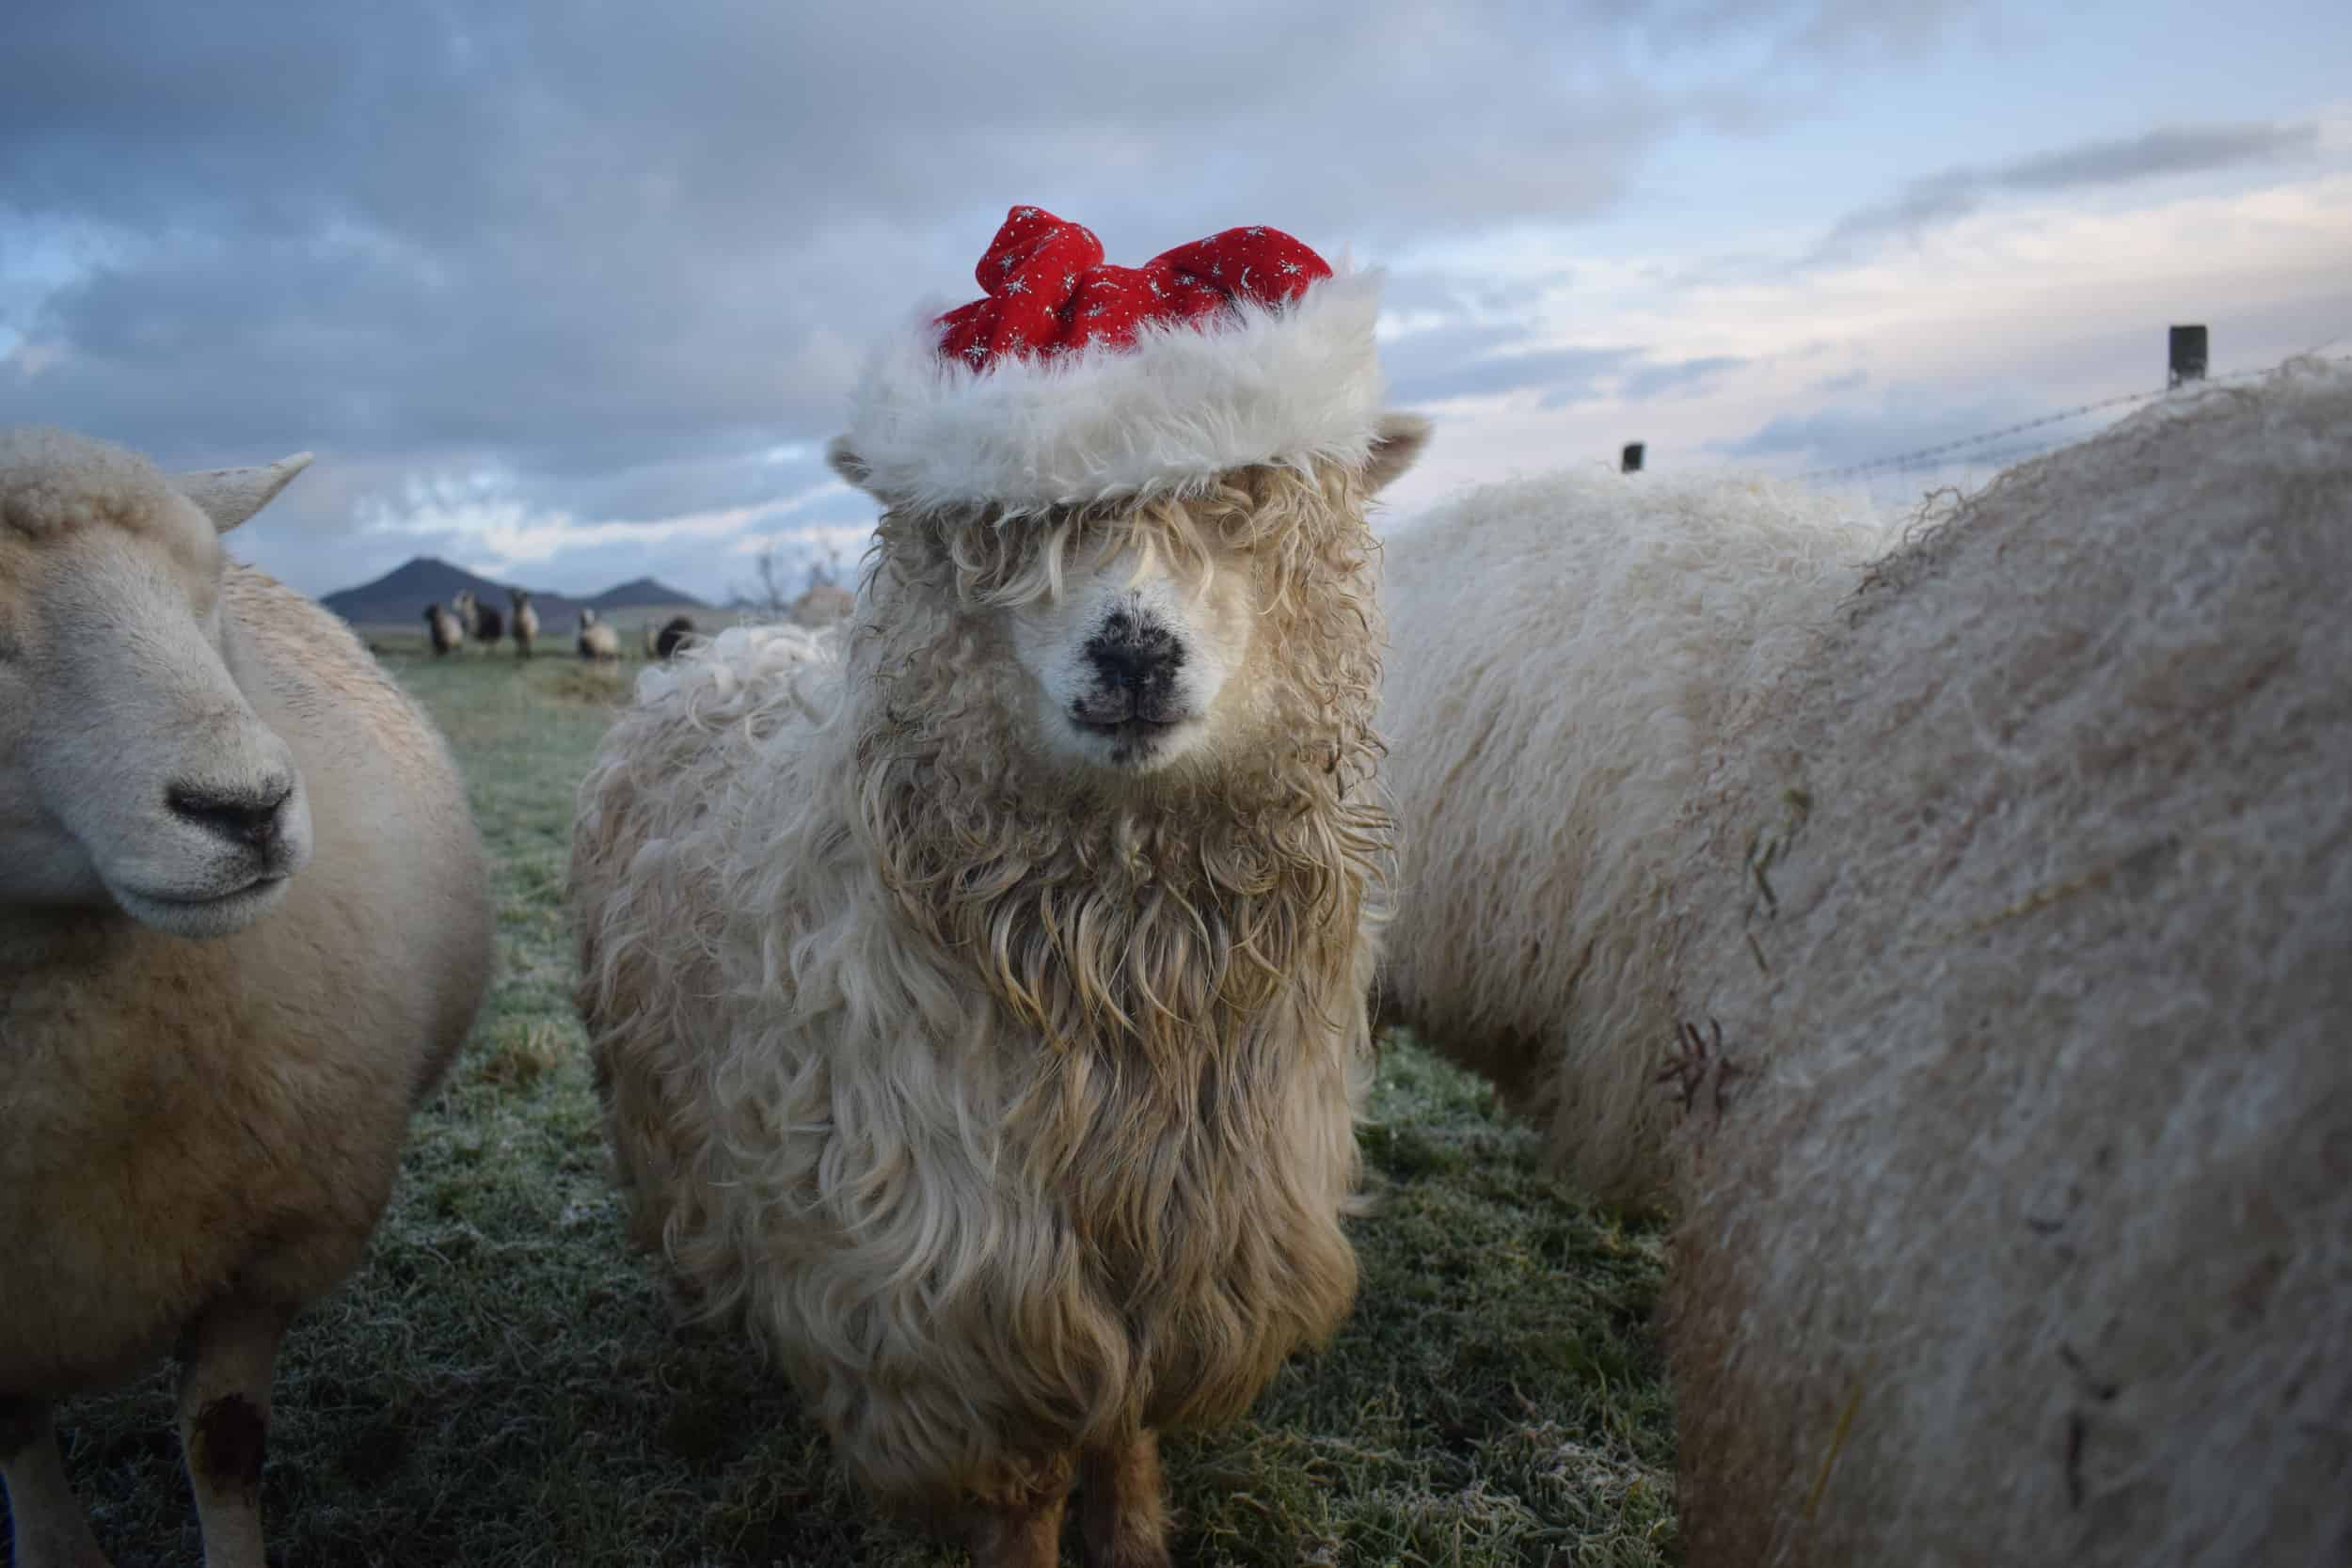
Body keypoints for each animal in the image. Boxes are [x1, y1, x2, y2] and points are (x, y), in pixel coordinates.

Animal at [571, 210, 1427, 1566]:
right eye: (1012, 527)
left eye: (1238, 496)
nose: (1134, 653)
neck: (1120, 967)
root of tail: (727, 648)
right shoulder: (951, 1291)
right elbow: (1021, 1490)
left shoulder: (1191, 1238)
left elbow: (1125, 1425)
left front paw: (1135, 1534)